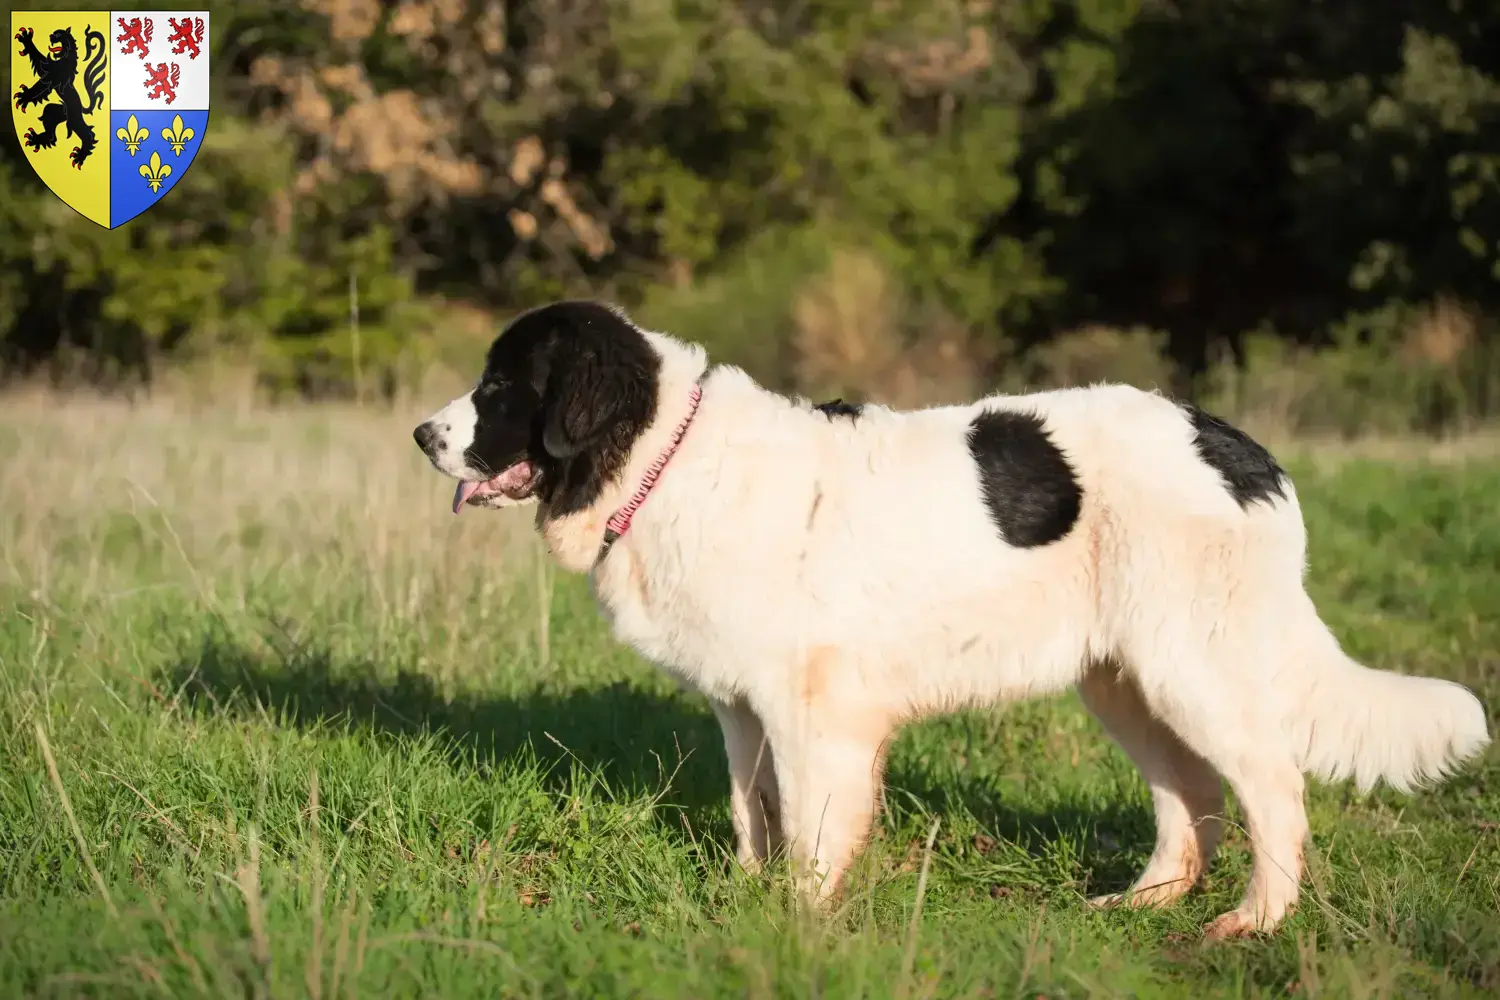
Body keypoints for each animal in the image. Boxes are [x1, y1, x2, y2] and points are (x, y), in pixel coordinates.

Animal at [411, 299, 1488, 941]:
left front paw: (800, 918)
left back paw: (1255, 921)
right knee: (1191, 795)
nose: (423, 434)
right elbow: (753, 811)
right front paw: (753, 901)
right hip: (1124, 681)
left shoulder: (809, 709)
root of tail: (1241, 449)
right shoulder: (742, 705)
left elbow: (808, 823)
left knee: (1272, 788)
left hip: (1194, 668)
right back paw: (1143, 901)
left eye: (500, 387)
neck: (661, 455)